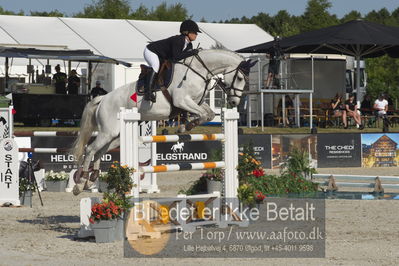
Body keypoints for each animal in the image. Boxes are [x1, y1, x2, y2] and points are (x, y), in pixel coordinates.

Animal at [72, 48, 256, 194]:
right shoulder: (182, 100)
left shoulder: (195, 102)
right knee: (90, 149)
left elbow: (208, 114)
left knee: (99, 152)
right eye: (240, 78)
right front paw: (185, 127)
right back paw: (80, 184)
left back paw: (91, 179)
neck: (198, 70)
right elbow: (203, 115)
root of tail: (102, 99)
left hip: (114, 136)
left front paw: (187, 125)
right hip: (107, 131)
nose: (234, 103)